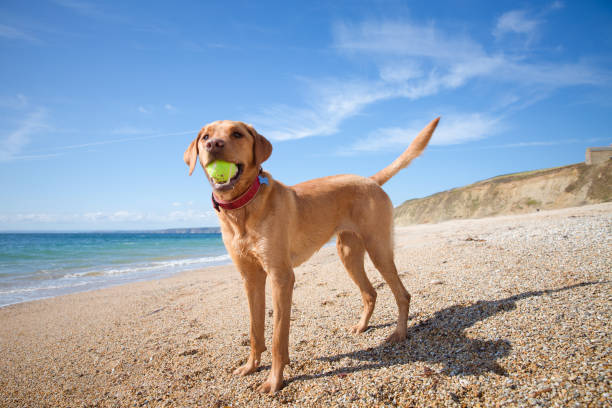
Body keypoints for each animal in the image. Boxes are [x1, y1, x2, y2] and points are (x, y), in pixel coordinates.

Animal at [183, 117, 440, 392]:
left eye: (237, 134)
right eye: (205, 136)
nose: (213, 144)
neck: (242, 208)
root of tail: (370, 179)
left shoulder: (281, 277)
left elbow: (277, 337)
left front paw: (274, 380)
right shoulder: (251, 278)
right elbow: (255, 331)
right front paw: (251, 366)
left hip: (378, 249)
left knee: (402, 294)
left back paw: (399, 334)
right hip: (348, 254)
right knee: (370, 293)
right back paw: (362, 326)